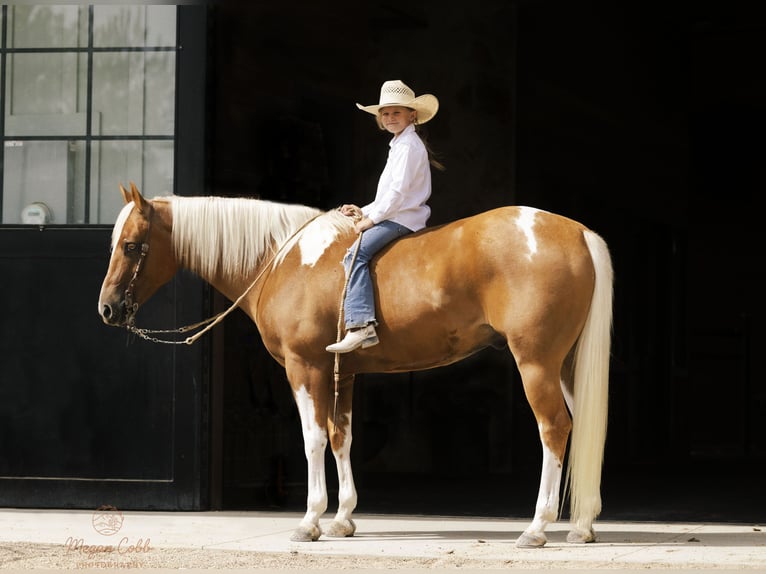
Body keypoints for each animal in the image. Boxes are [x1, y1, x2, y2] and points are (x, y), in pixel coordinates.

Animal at [98, 183, 613, 548]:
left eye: (132, 245)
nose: (107, 309)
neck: (282, 260)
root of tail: (577, 232)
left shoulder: (304, 369)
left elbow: (312, 439)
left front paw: (310, 520)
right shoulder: (341, 374)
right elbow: (341, 436)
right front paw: (343, 518)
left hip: (537, 363)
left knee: (553, 429)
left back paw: (538, 527)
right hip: (566, 366)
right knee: (582, 425)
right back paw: (582, 526)